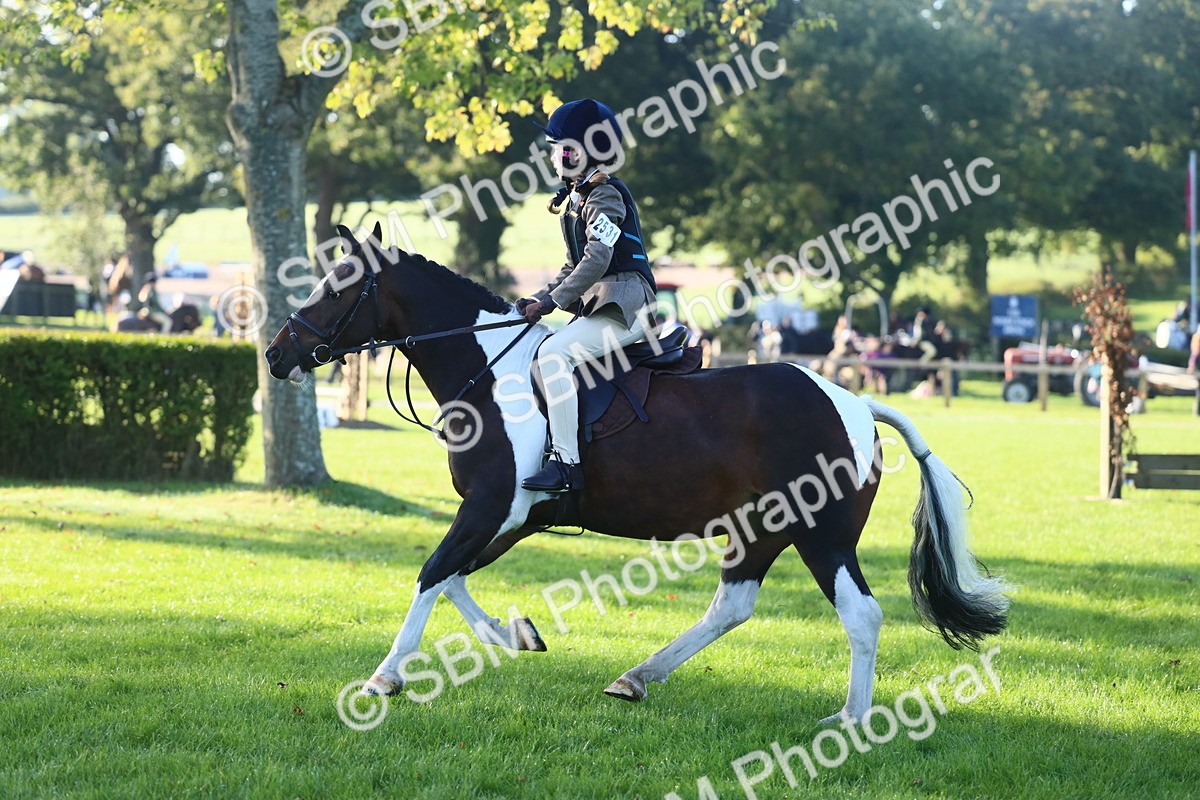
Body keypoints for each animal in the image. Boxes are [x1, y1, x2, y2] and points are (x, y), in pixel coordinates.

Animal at [265, 225, 1009, 722]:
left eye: (336, 287)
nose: (276, 354)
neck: (490, 370)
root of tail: (852, 400)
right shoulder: (509, 517)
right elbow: (452, 578)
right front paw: (515, 633)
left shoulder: (490, 507)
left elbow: (430, 574)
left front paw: (384, 678)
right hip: (760, 529)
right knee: (733, 604)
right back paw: (637, 677)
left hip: (820, 534)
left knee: (861, 614)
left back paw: (851, 719)